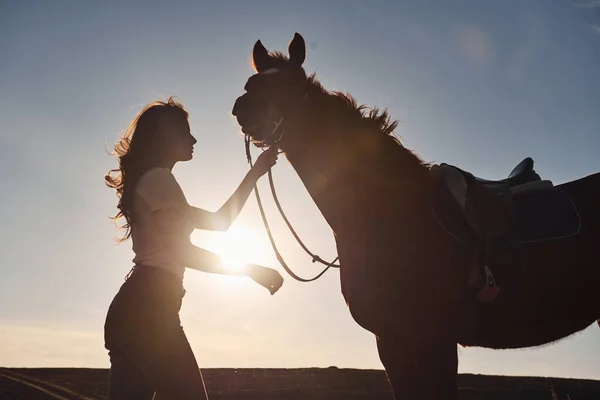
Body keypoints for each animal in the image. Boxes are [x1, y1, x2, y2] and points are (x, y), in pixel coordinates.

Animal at [231, 32, 600, 398]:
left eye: (292, 85)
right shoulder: (391, 341)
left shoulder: (433, 341)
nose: (242, 108)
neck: (390, 215)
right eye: (252, 82)